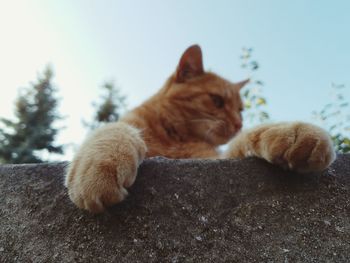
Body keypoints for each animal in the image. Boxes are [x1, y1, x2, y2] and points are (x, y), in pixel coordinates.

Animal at [65, 44, 336, 214]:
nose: (238, 123)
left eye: (241, 110)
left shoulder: (216, 158)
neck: (174, 137)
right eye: (217, 101)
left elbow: (244, 141)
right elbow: (114, 129)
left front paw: (291, 131)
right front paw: (97, 166)